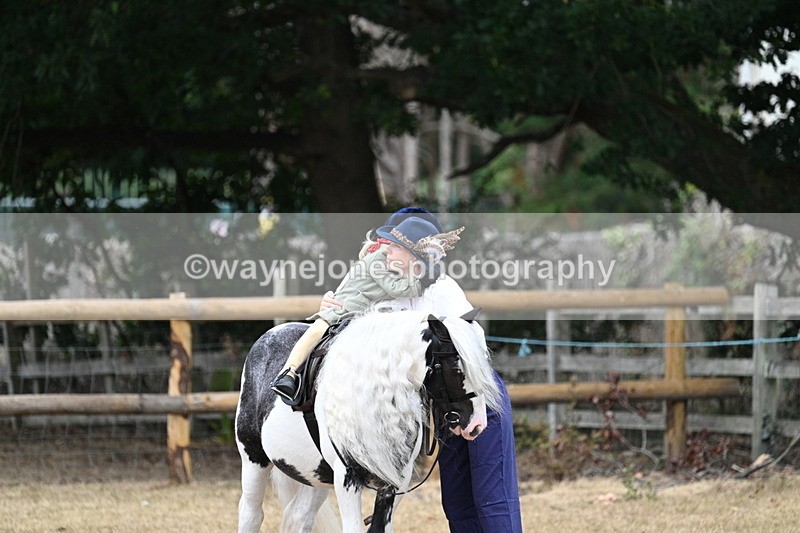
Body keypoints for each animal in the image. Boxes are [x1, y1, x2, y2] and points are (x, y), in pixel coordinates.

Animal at [235, 309, 503, 533]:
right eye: (457, 368)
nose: (477, 424)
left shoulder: (391, 483)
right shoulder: (347, 478)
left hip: (318, 476)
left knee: (299, 517)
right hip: (254, 459)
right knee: (251, 513)